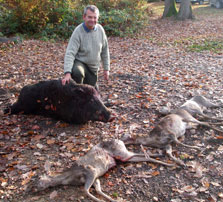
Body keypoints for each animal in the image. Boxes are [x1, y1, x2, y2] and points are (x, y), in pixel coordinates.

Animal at [27, 139, 173, 202]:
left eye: (37, 178)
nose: (30, 189)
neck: (69, 178)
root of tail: (120, 140)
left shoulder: (90, 171)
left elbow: (85, 191)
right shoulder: (95, 177)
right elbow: (97, 189)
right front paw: (113, 200)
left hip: (120, 152)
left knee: (136, 154)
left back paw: (169, 160)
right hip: (122, 158)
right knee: (138, 156)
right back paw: (165, 157)